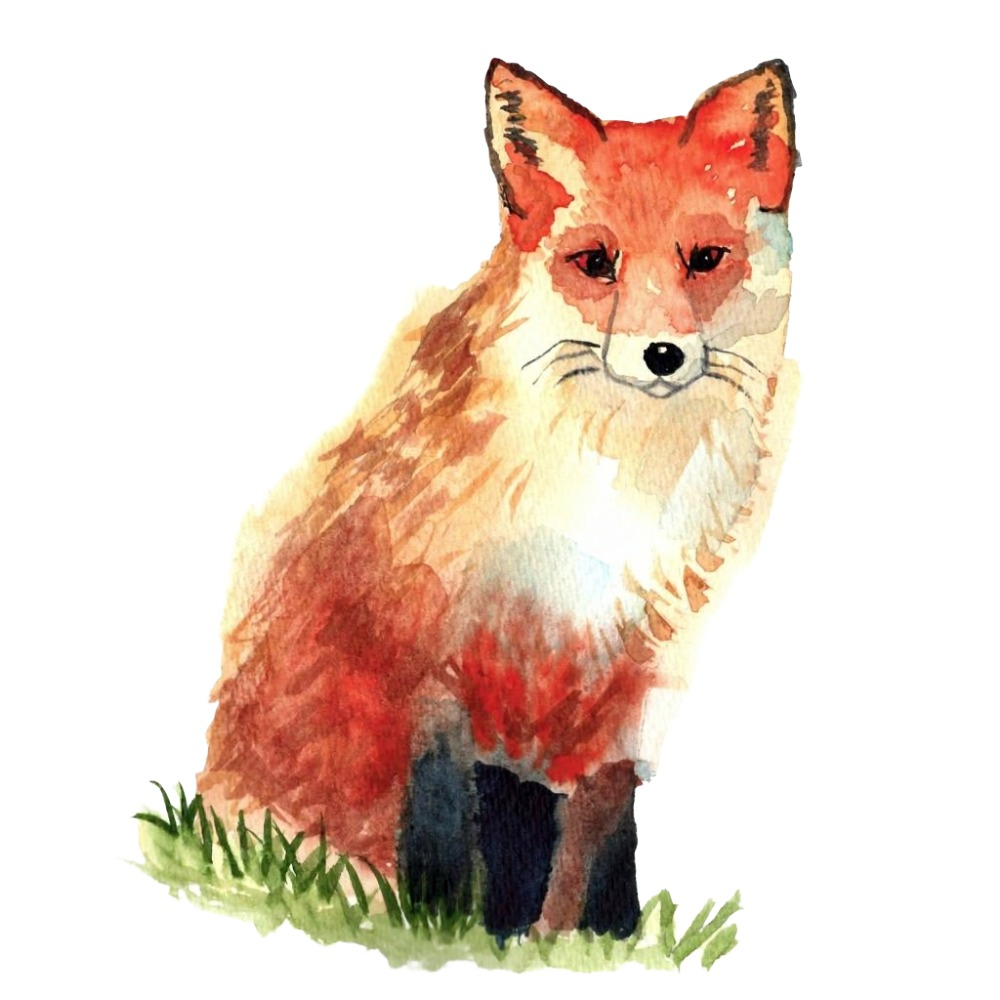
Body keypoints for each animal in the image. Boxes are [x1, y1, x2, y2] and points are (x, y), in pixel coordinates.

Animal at [199, 58, 798, 941]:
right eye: (596, 263)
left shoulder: (622, 674)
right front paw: (451, 934)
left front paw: (575, 944)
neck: (605, 496)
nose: (661, 355)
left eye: (705, 258)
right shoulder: (440, 653)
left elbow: (592, 836)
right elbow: (449, 828)